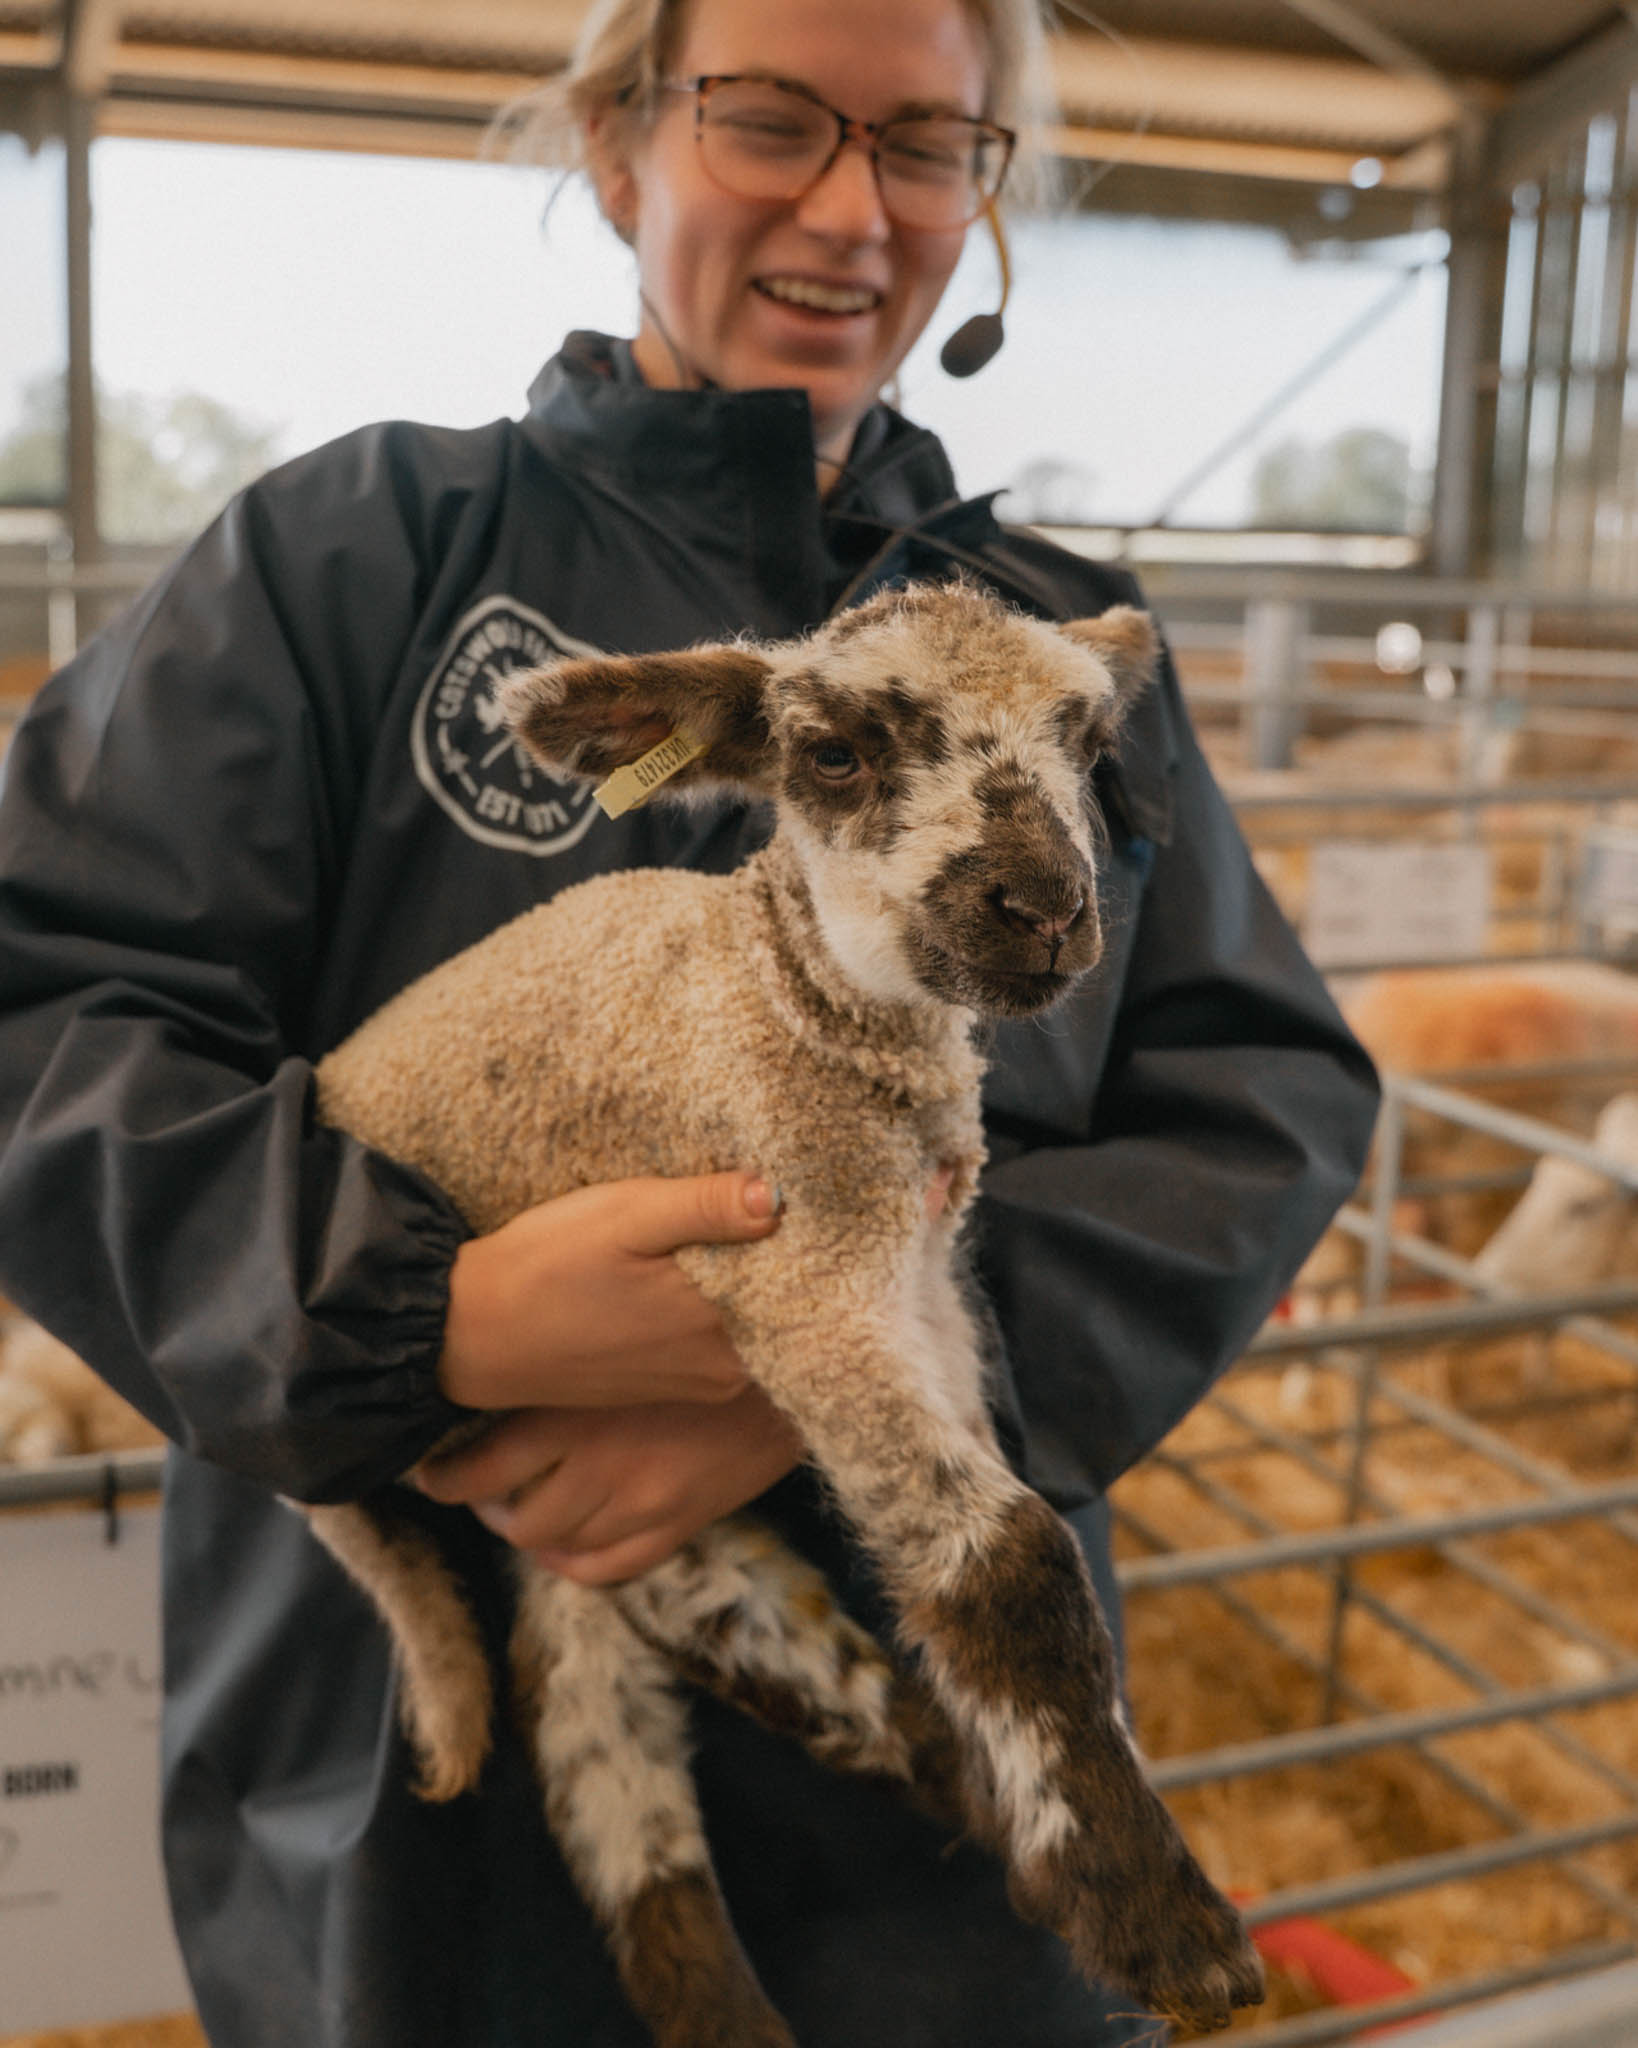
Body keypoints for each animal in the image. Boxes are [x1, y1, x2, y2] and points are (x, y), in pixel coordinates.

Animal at [306, 579, 1264, 2047]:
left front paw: (1085, 1854)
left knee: (684, 1660)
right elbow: (1007, 1560)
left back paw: (964, 1806)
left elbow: (958, 1550)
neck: (785, 999)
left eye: (1089, 745)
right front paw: (1163, 1924)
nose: (1042, 905)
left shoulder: (923, 1292)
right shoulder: (799, 1284)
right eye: (834, 754)